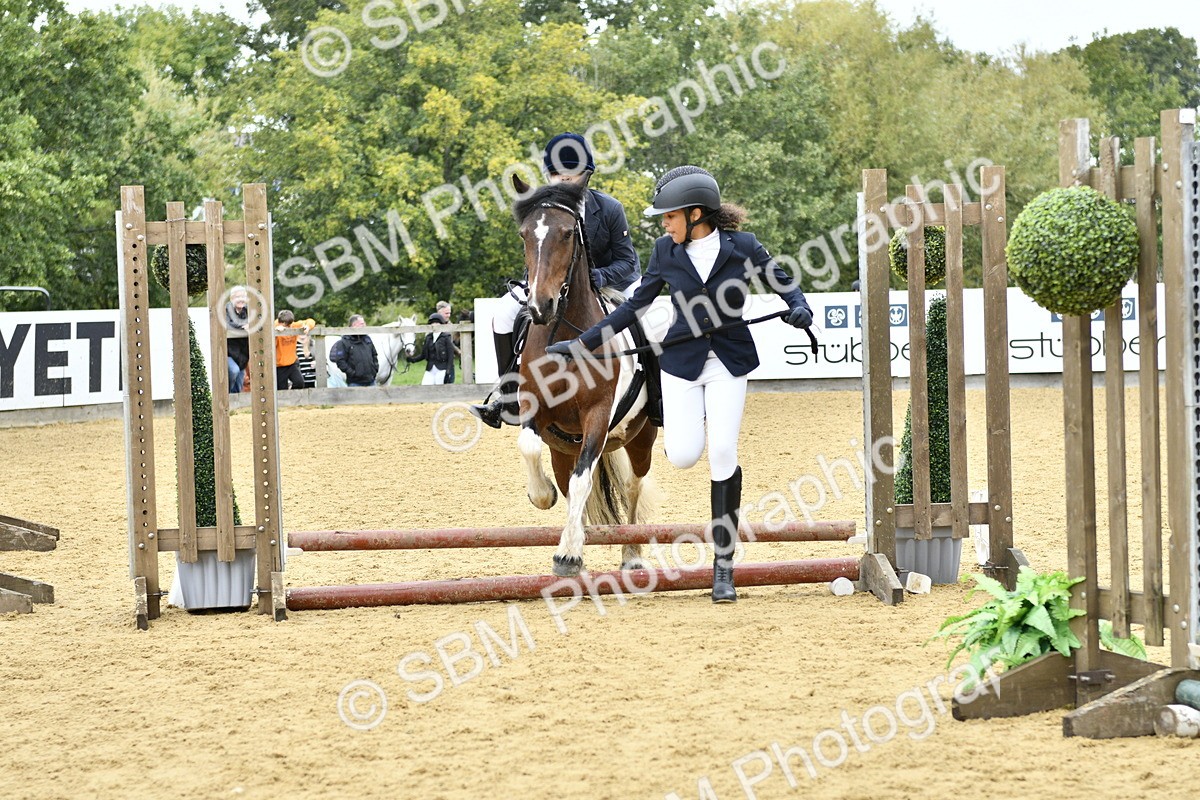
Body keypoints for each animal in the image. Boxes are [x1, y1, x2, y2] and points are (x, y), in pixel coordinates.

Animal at [509, 176, 659, 577]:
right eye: (524, 235)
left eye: (566, 234)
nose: (540, 307)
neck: (564, 334)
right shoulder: (535, 407)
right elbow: (532, 452)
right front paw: (541, 495)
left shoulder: (597, 413)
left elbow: (583, 481)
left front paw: (568, 556)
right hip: (563, 448)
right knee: (571, 480)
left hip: (641, 438)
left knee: (633, 486)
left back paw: (631, 554)